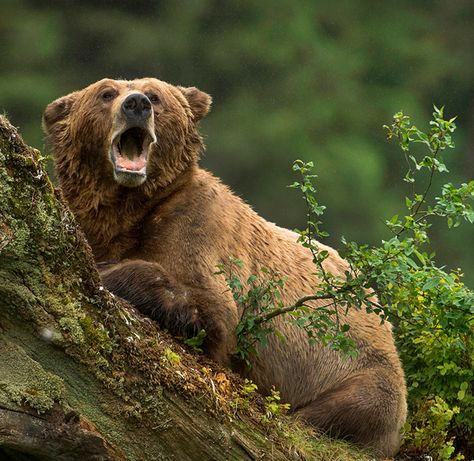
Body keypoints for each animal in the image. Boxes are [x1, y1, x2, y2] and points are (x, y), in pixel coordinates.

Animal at [44, 77, 406, 454]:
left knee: (349, 407)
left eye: (156, 95)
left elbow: (211, 314)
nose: (137, 104)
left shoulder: (198, 228)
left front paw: (106, 269)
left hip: (362, 369)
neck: (130, 211)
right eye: (106, 93)